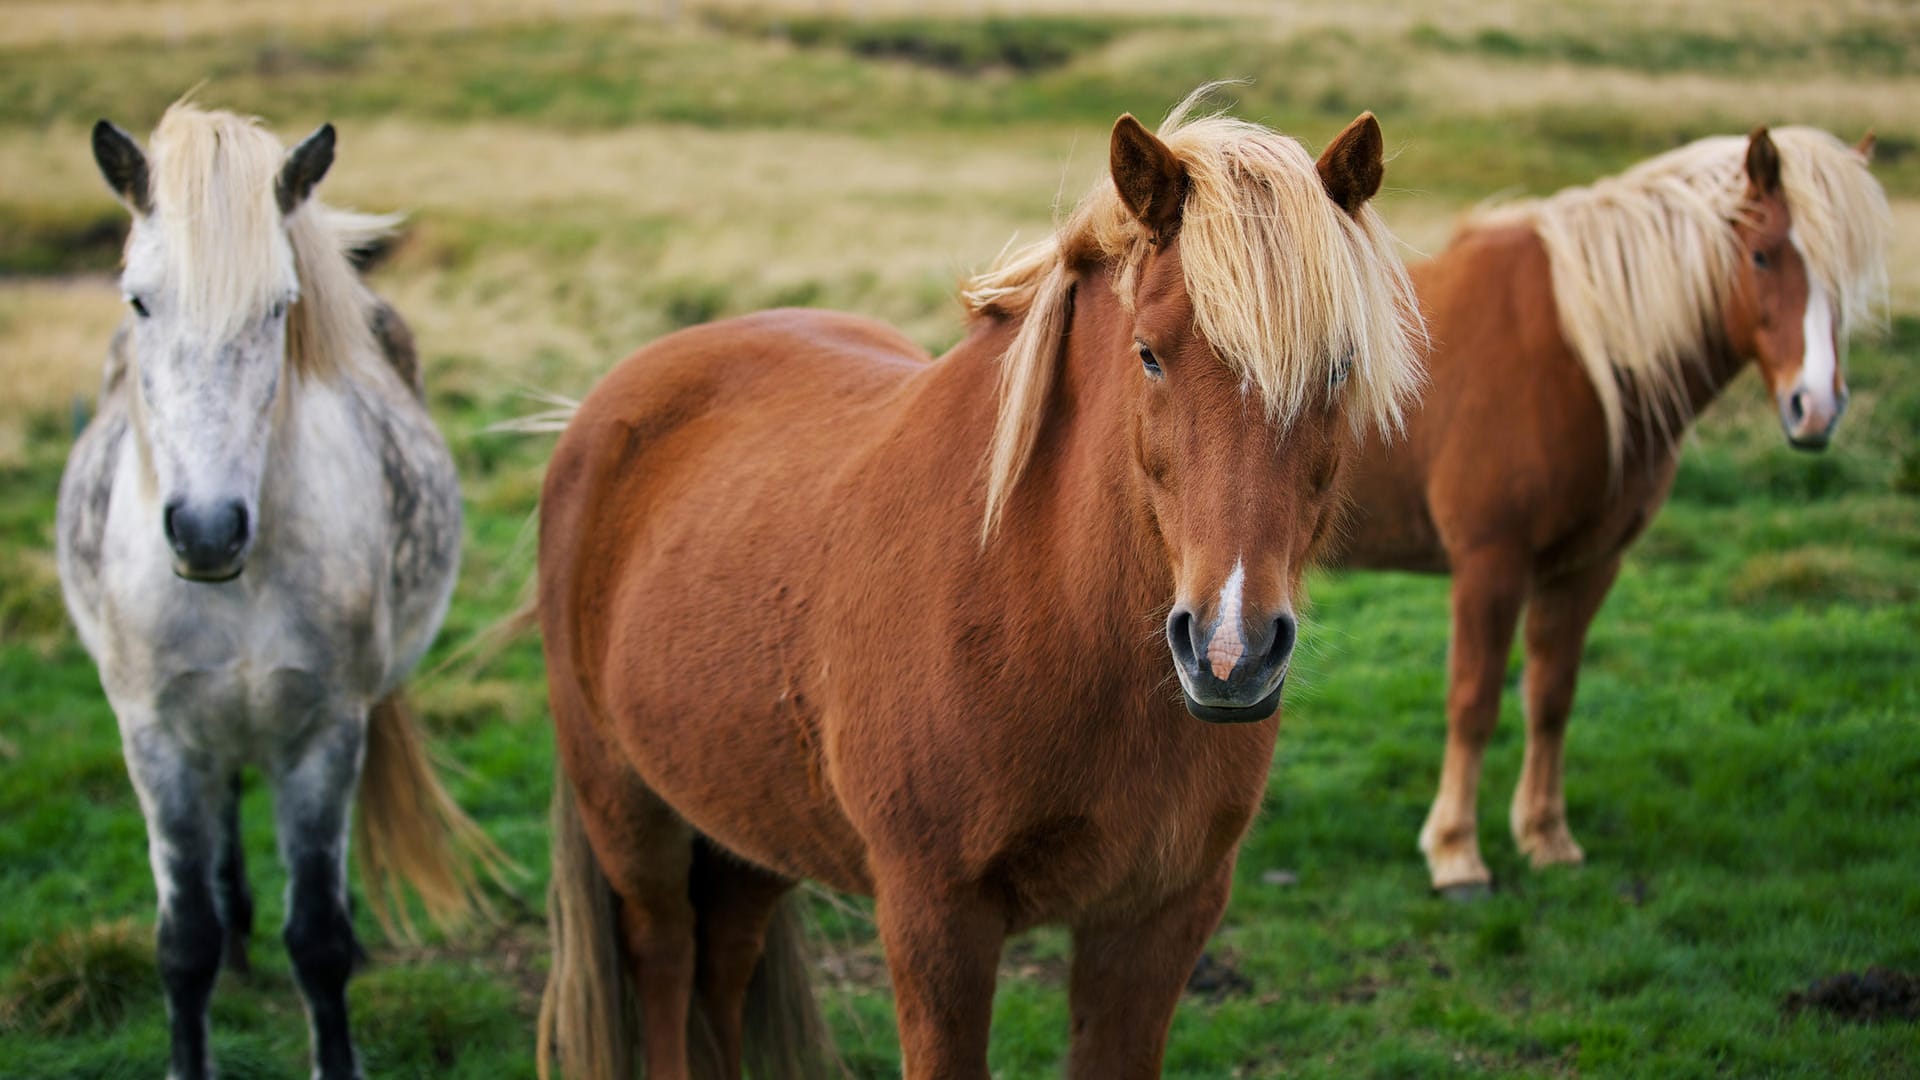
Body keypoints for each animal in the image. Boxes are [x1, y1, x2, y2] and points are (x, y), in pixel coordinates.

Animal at [60, 105, 495, 1076]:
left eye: (278, 307)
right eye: (139, 300)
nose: (206, 530)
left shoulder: (327, 734)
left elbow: (320, 941)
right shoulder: (154, 738)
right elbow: (181, 943)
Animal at [537, 94, 1428, 1076]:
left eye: (1339, 366)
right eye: (1150, 354)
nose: (1230, 651)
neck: (1042, 611)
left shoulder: (1157, 919)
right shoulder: (936, 921)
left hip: (745, 823)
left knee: (722, 966)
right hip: (629, 810)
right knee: (664, 962)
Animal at [1328, 123, 1881, 891]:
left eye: (1846, 275)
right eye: (1763, 254)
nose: (1817, 408)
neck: (1578, 349)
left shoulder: (1585, 567)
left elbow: (1551, 698)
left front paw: (1545, 837)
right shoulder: (1490, 564)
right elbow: (1474, 702)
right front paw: (1456, 852)